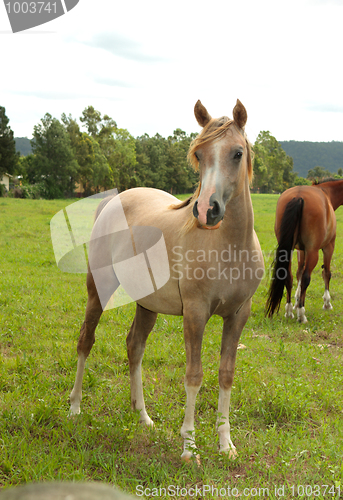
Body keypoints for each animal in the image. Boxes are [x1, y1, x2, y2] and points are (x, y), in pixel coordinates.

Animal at [69, 98, 264, 460]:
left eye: (237, 153)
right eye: (199, 154)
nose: (206, 210)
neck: (228, 246)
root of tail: (114, 201)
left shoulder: (238, 315)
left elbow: (226, 375)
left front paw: (225, 444)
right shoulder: (196, 313)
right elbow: (194, 375)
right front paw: (189, 446)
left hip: (147, 304)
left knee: (134, 346)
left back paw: (142, 415)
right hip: (98, 292)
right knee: (86, 340)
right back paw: (74, 407)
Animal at [268, 180, 343, 324]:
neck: (327, 192)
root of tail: (299, 196)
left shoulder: (300, 250)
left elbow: (299, 273)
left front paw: (297, 301)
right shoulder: (329, 246)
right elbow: (326, 273)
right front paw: (327, 303)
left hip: (289, 250)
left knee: (289, 276)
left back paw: (289, 311)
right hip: (313, 251)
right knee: (307, 277)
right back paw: (301, 315)